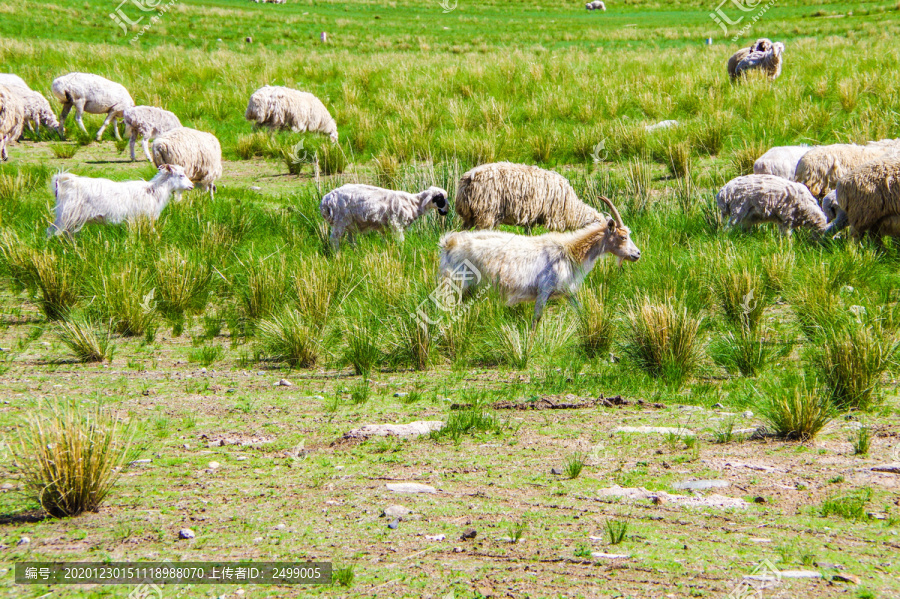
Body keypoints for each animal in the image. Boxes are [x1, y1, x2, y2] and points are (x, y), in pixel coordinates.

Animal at [322, 183, 450, 248]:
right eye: (440, 199)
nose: (447, 211)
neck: (413, 203)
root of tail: (326, 200)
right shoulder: (396, 223)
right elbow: (400, 240)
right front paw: (402, 250)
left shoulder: (384, 227)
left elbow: (386, 241)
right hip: (340, 220)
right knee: (334, 239)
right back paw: (337, 254)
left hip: (350, 223)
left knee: (351, 239)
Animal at [438, 197, 640, 328]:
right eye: (623, 237)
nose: (637, 254)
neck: (569, 252)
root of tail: (449, 243)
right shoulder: (544, 289)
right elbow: (537, 318)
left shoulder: (568, 292)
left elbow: (580, 311)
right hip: (457, 284)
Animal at [454, 162, 600, 232]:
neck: (573, 209)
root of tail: (468, 178)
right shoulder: (554, 218)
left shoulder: (532, 219)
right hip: (485, 214)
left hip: (469, 217)